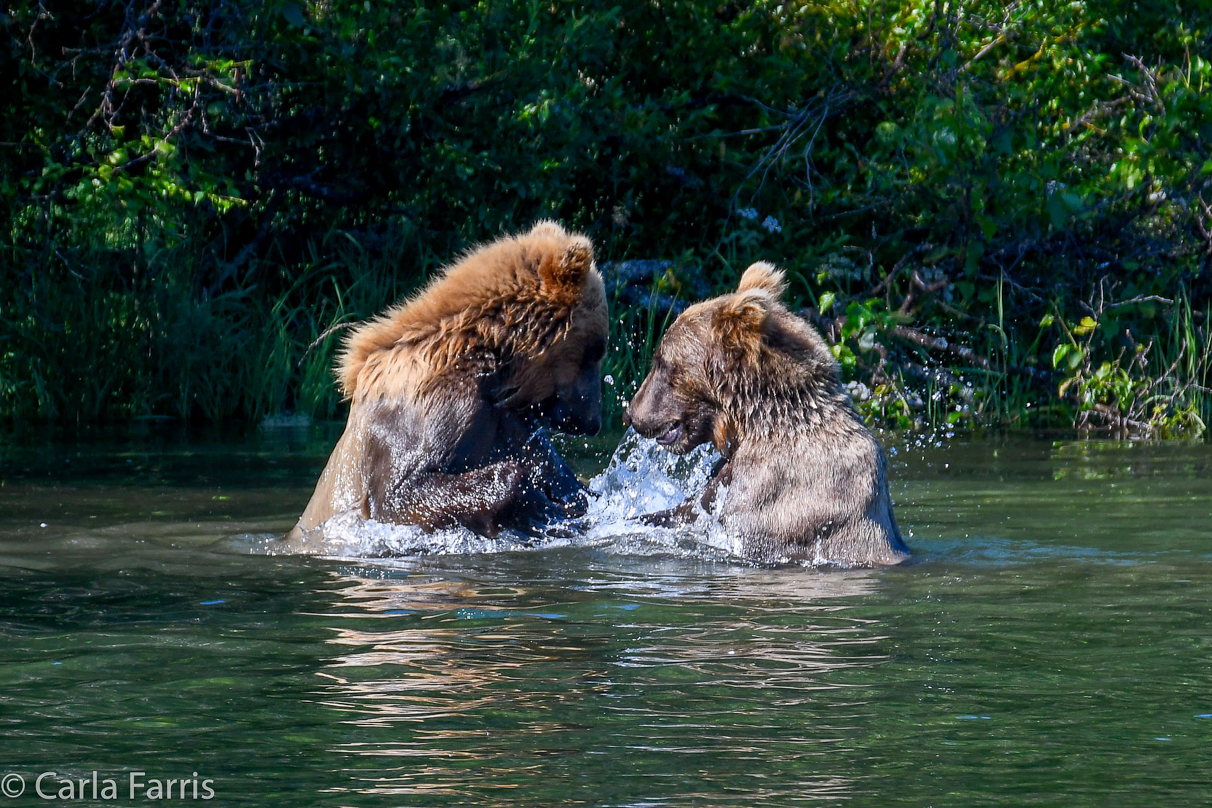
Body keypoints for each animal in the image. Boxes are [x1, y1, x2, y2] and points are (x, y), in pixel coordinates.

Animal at [282, 221, 606, 549]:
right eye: (594, 351)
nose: (593, 420)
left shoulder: (513, 426)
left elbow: (559, 475)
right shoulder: (426, 415)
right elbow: (396, 494)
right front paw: (537, 506)